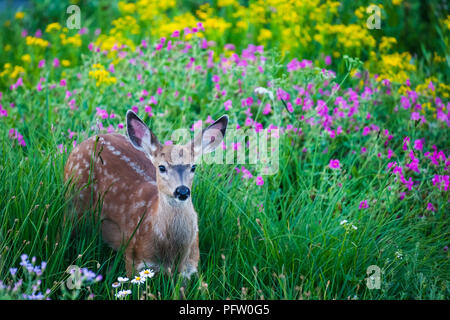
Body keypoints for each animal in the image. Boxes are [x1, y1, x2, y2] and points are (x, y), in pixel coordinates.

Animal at [64, 110, 227, 278]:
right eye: (161, 167)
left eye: (193, 167)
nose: (182, 191)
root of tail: (88, 140)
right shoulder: (134, 259)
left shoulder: (190, 266)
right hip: (73, 200)